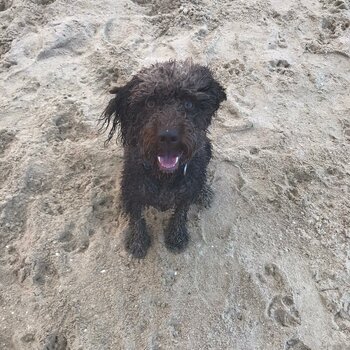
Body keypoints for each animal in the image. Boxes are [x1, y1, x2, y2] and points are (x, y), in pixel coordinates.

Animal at [101, 59, 227, 258]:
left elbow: (180, 213)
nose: (168, 136)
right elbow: (136, 217)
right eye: (150, 103)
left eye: (188, 103)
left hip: (206, 148)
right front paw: (137, 242)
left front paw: (176, 237)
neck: (164, 176)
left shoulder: (187, 191)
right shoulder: (133, 189)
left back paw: (204, 191)